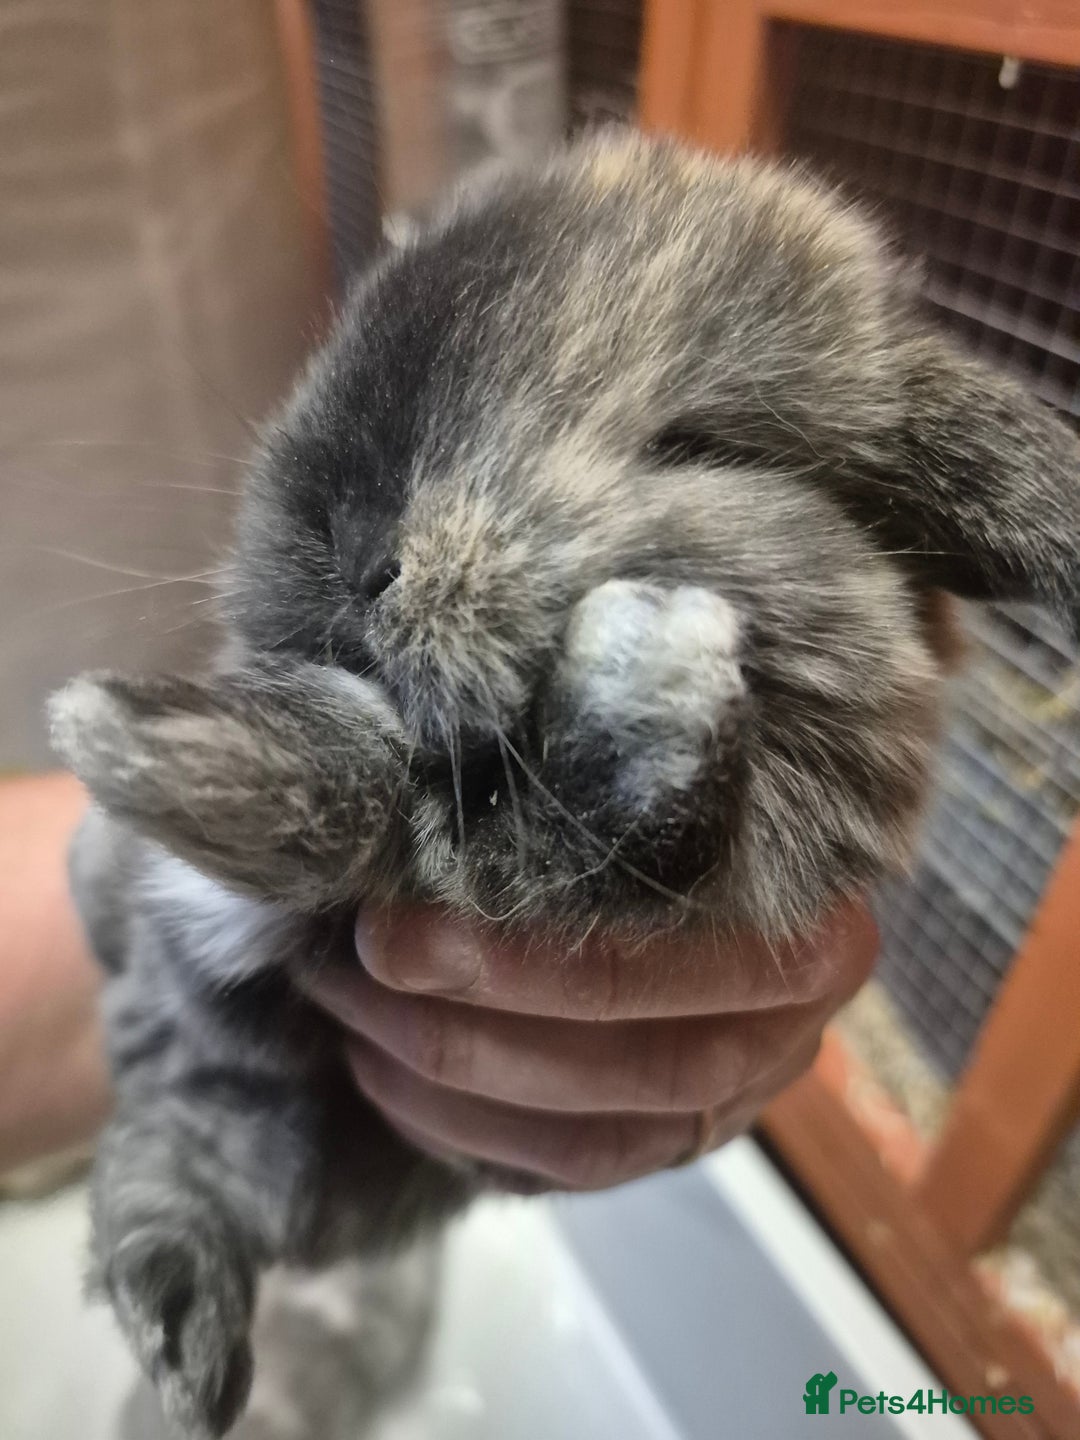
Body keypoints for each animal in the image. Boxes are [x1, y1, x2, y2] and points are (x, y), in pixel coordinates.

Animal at [49, 130, 1080, 1437]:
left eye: (700, 448)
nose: (354, 547)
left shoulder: (631, 867)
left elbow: (602, 812)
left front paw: (652, 668)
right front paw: (138, 737)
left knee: (182, 1173)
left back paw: (189, 1354)